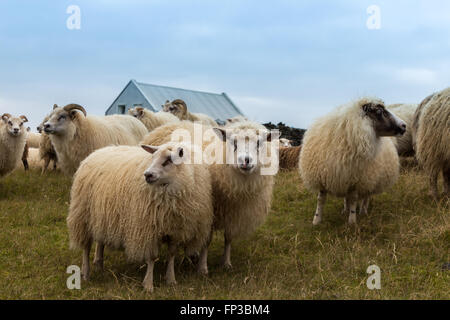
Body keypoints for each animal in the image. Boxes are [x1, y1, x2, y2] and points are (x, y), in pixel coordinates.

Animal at [67, 142, 214, 292]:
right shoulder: (147, 229)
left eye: (168, 160)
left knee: (100, 240)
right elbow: (152, 257)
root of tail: (99, 150)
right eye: (152, 157)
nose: (147, 175)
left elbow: (172, 253)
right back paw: (86, 273)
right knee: (86, 247)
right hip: (83, 216)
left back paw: (99, 264)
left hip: (101, 216)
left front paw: (171, 279)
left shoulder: (175, 230)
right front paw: (148, 285)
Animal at [141, 119, 276, 270]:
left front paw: (226, 262)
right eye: (233, 142)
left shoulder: (233, 212)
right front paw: (203, 267)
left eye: (259, 143)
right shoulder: (210, 210)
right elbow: (207, 239)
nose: (245, 160)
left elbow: (228, 237)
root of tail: (168, 125)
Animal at [298, 97, 408, 225]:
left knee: (366, 196)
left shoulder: (358, 179)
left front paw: (352, 221)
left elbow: (354, 199)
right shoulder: (322, 176)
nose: (404, 125)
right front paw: (316, 220)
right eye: (379, 111)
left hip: (371, 179)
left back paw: (363, 211)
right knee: (348, 196)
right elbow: (320, 199)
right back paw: (345, 210)